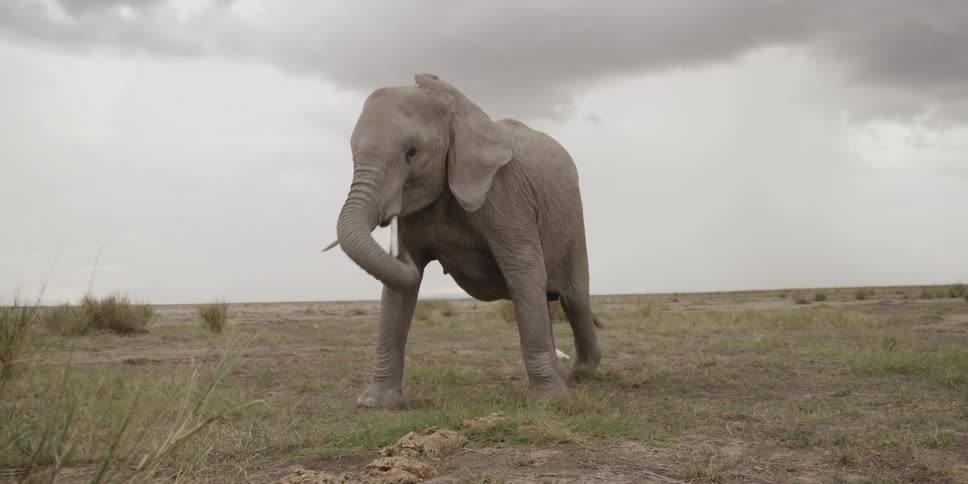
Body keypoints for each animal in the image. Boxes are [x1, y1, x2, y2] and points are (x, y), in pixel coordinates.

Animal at [326, 73, 602, 408]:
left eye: (412, 152)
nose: (395, 248)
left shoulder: (506, 195)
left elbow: (524, 273)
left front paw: (549, 402)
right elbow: (397, 291)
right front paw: (376, 405)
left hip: (573, 221)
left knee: (574, 299)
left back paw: (584, 373)